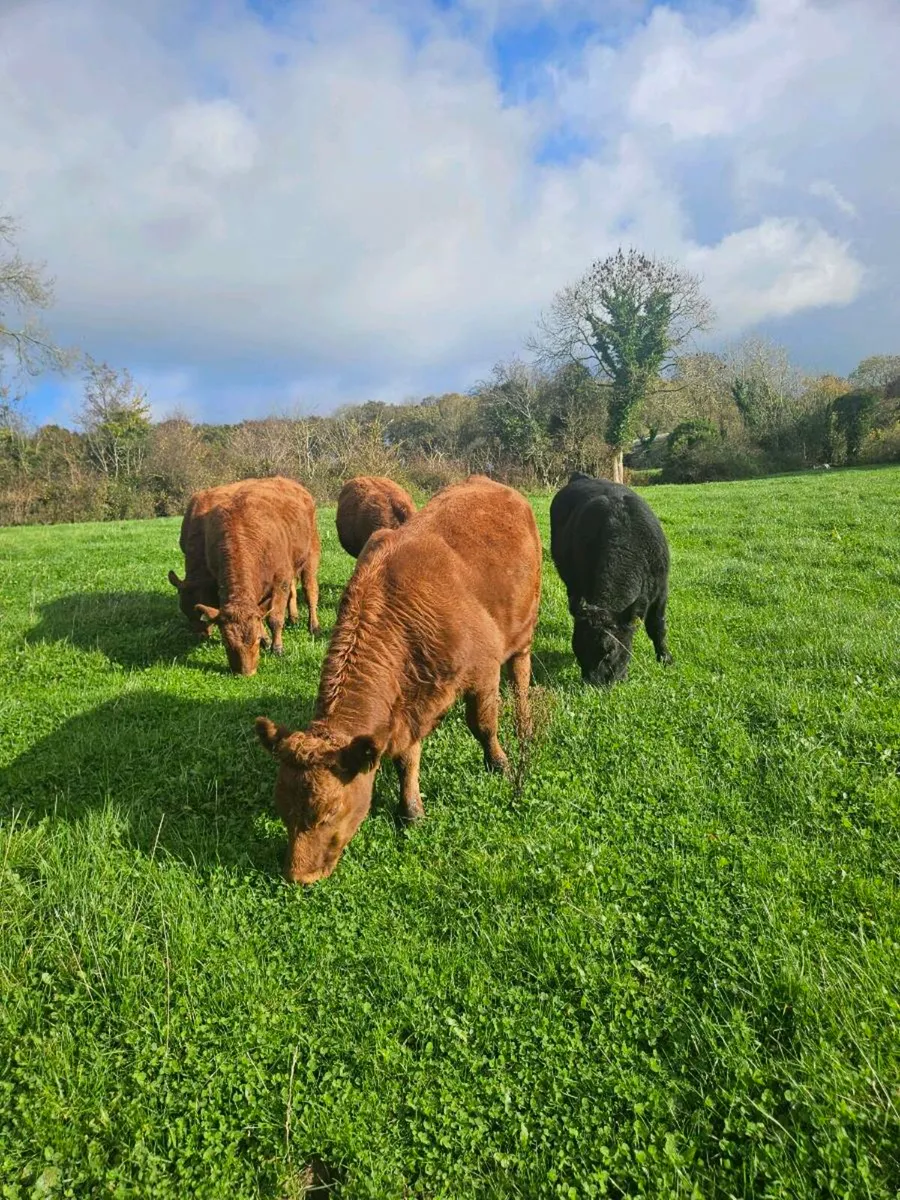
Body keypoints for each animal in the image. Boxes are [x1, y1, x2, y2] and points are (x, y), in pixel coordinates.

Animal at [183, 476, 321, 675]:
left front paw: (276, 647)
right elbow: (262, 613)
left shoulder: (281, 580)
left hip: (311, 556)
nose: (246, 673)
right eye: (226, 642)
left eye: (254, 640)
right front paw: (266, 639)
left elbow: (275, 617)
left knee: (310, 592)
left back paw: (314, 626)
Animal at [254, 475, 541, 884]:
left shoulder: (483, 672)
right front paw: (410, 810)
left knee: (519, 677)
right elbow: (406, 757)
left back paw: (524, 723)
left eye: (328, 813)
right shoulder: (407, 705)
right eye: (282, 809)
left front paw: (498, 763)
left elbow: (484, 725)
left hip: (523, 629)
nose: (298, 877)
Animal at [550, 472, 672, 686]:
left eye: (609, 651)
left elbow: (657, 626)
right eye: (577, 650)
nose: (595, 684)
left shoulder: (661, 591)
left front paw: (665, 658)